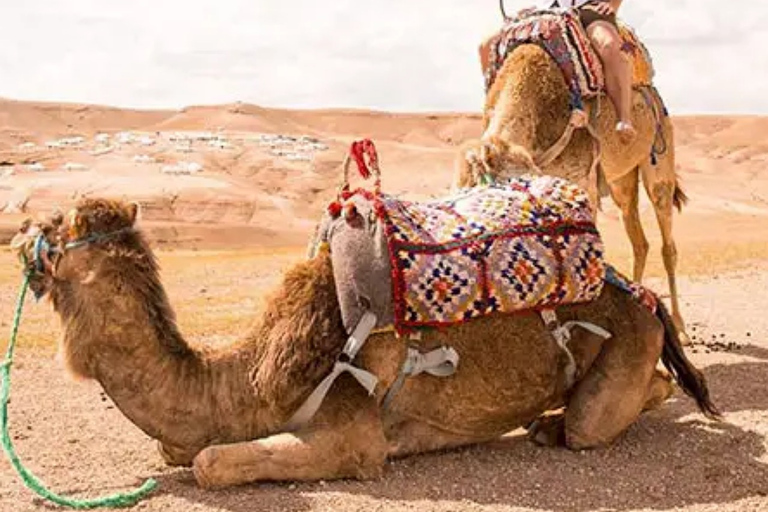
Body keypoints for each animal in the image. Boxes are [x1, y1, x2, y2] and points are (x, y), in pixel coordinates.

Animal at [12, 198, 716, 490]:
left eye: (52, 223)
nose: (15, 230)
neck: (247, 381)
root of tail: (640, 295)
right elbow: (176, 446)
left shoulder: (353, 435)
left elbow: (211, 462)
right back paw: (546, 420)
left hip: (624, 352)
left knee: (596, 420)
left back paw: (554, 424)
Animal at [456, 42, 688, 342]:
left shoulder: (583, 179)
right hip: (621, 180)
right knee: (638, 237)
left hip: (659, 155)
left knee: (666, 240)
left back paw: (680, 327)